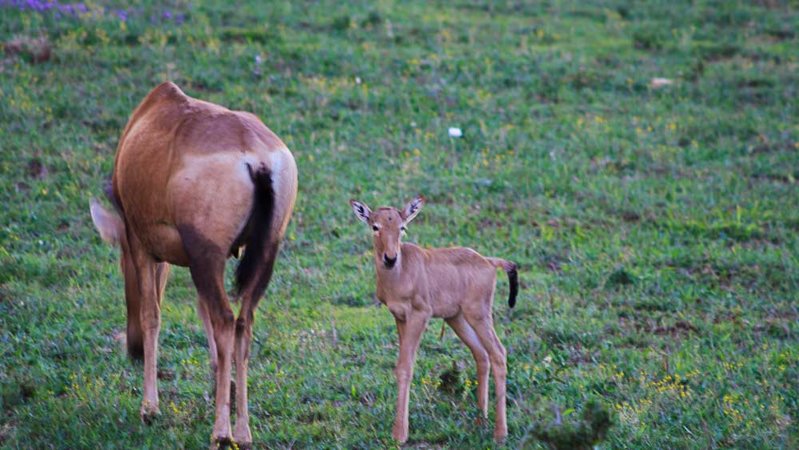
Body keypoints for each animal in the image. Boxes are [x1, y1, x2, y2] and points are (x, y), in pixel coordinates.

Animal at [88, 81, 300, 446]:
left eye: (121, 263)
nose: (133, 348)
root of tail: (256, 158)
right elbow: (201, 313)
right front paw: (223, 386)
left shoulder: (141, 242)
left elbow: (153, 314)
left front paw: (149, 409)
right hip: (265, 252)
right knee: (243, 323)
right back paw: (243, 432)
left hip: (207, 253)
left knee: (226, 320)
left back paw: (221, 434)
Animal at [350, 195, 520, 442]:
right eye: (375, 226)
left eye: (402, 227)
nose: (390, 259)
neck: (403, 270)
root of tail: (489, 262)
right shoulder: (400, 318)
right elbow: (401, 365)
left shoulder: (420, 315)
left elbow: (406, 367)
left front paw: (399, 435)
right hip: (456, 318)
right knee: (481, 354)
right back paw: (481, 420)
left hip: (478, 315)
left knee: (498, 353)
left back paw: (500, 433)